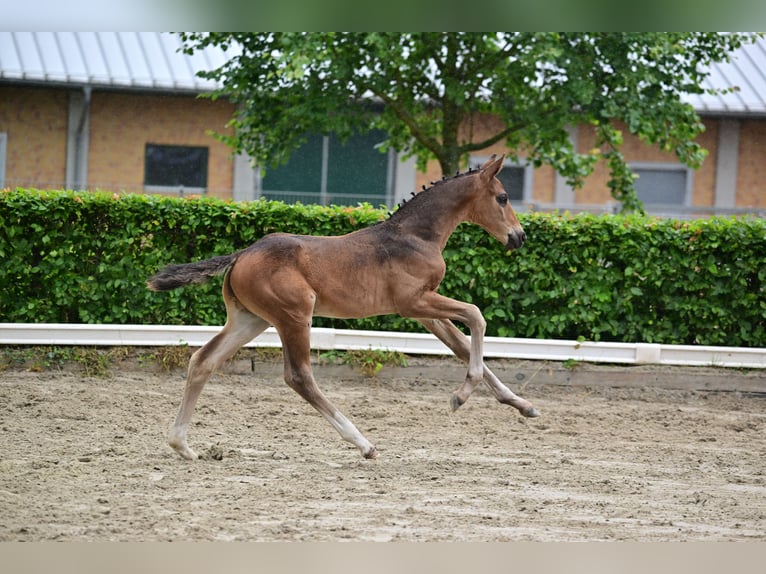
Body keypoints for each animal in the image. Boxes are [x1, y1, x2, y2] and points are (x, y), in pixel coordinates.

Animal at [148, 155, 540, 462]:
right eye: (503, 197)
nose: (519, 237)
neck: (414, 237)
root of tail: (242, 254)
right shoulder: (413, 302)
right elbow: (476, 315)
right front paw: (460, 395)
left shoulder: (424, 310)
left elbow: (461, 344)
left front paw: (522, 405)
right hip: (294, 317)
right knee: (299, 376)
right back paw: (363, 443)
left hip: (251, 320)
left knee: (203, 361)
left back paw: (183, 446)